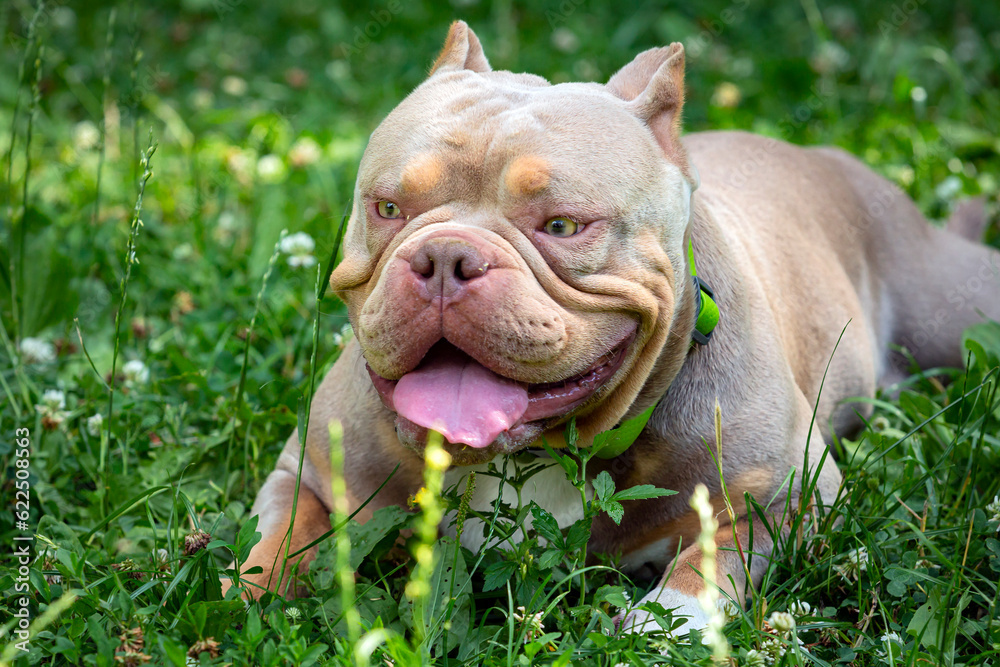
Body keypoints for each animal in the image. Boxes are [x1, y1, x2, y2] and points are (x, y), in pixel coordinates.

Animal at [234, 20, 1000, 636]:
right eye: (389, 207)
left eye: (563, 225)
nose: (446, 257)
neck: (538, 451)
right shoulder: (308, 469)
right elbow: (282, 536)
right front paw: (255, 593)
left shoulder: (788, 494)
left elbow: (713, 557)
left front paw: (664, 624)